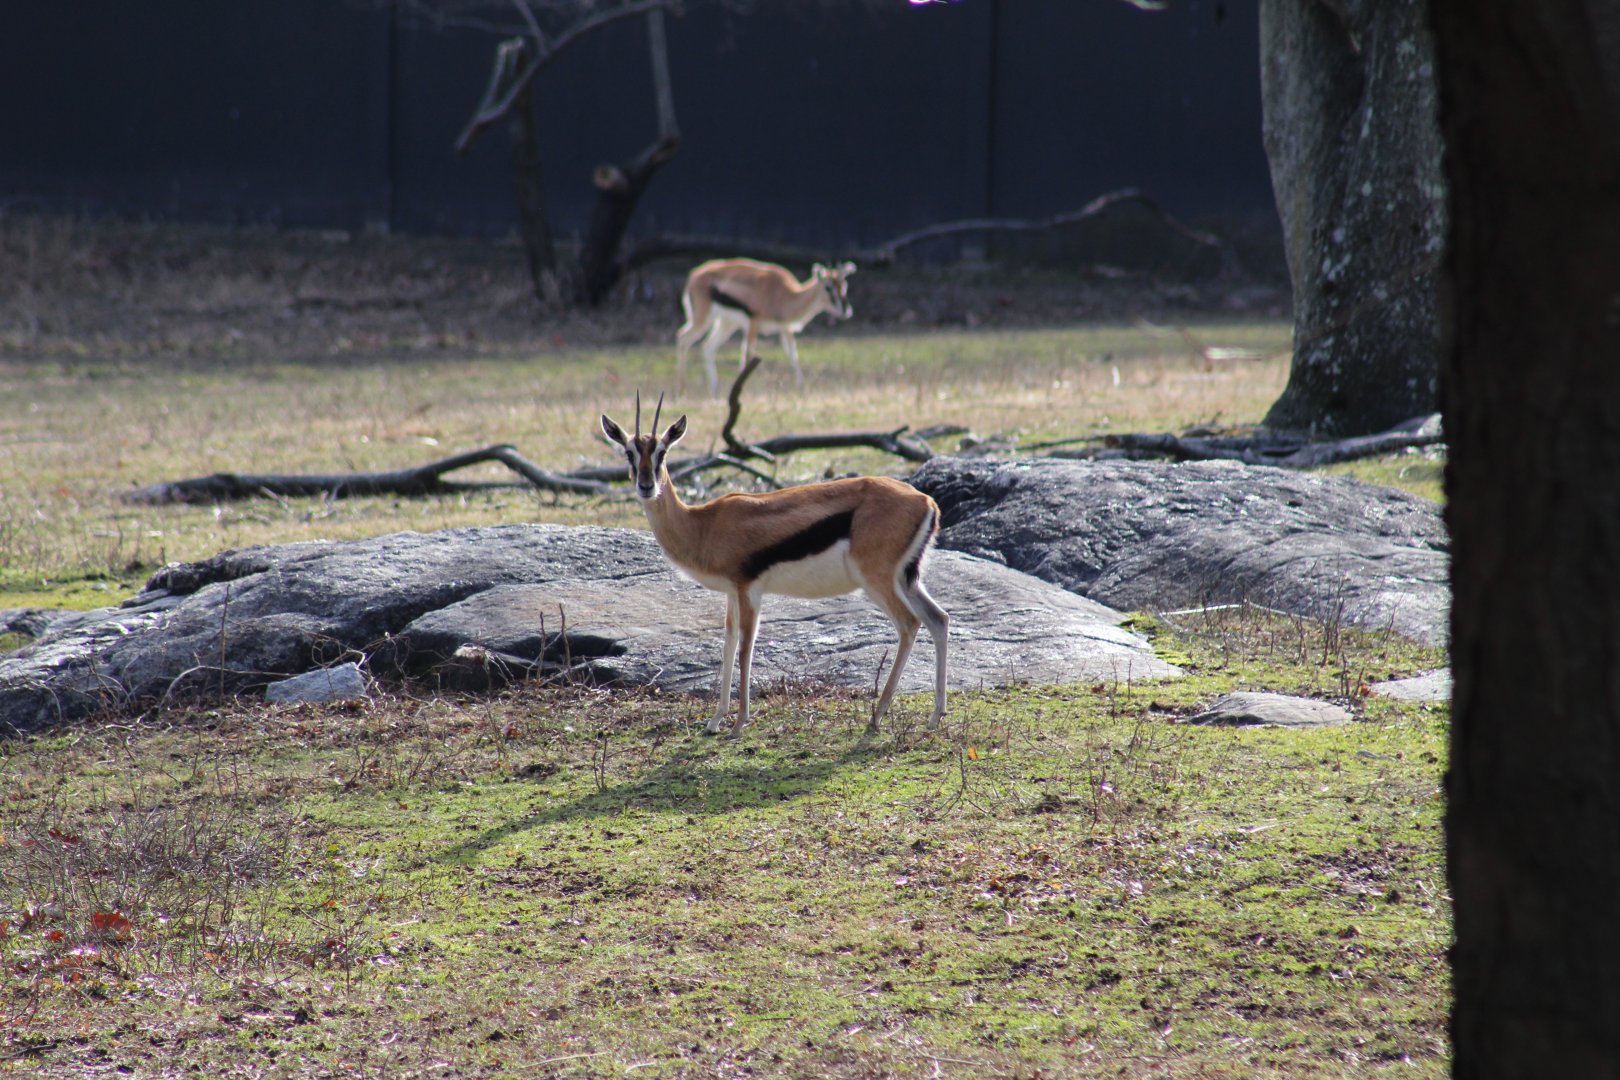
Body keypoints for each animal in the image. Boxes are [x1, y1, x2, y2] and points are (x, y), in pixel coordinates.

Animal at [601, 394, 948, 738]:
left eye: (662, 451)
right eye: (629, 452)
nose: (647, 485)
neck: (703, 524)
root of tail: (927, 501)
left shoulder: (748, 590)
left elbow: (745, 648)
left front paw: (738, 723)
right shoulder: (732, 593)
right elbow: (727, 646)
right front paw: (715, 721)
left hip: (877, 581)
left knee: (909, 624)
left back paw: (876, 717)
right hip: (906, 580)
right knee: (938, 619)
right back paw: (935, 716)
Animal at [675, 258, 857, 396]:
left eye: (844, 285)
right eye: (828, 287)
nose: (846, 310)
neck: (783, 295)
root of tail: (694, 276)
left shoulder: (785, 330)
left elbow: (793, 355)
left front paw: (801, 389)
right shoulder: (753, 325)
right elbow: (747, 356)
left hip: (726, 324)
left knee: (708, 347)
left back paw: (714, 393)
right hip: (702, 320)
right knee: (683, 337)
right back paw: (682, 392)